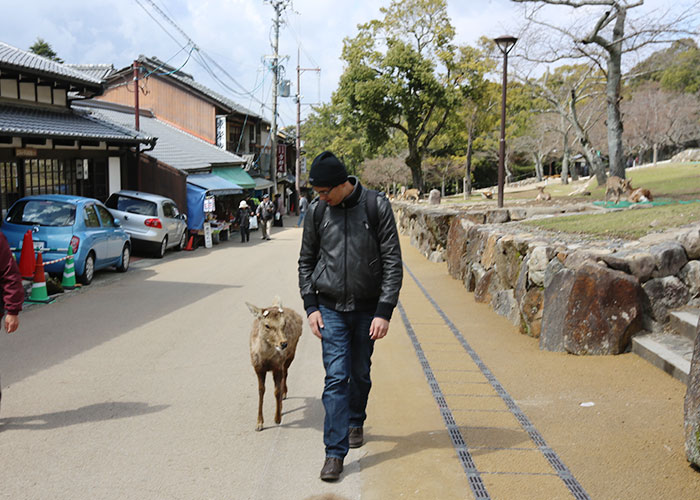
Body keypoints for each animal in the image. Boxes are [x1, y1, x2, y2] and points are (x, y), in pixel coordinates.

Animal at [246, 298, 300, 432]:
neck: (266, 360)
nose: (284, 343)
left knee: (285, 374)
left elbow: (276, 391)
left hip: (291, 355)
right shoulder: (258, 368)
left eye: (284, 323)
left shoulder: (277, 366)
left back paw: (284, 396)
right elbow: (261, 391)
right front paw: (259, 423)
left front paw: (277, 418)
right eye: (267, 325)